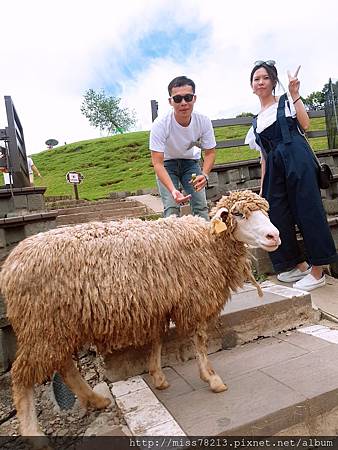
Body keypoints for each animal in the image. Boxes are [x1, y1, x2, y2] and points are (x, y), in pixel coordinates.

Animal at [0, 188, 280, 438]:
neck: (208, 244)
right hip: (41, 325)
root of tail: (11, 264)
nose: (274, 236)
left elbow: (157, 339)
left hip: (56, 326)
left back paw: (96, 400)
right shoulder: (193, 300)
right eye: (238, 214)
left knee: (65, 366)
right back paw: (33, 432)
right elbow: (199, 341)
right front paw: (211, 378)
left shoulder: (158, 305)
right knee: (21, 376)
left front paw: (158, 376)